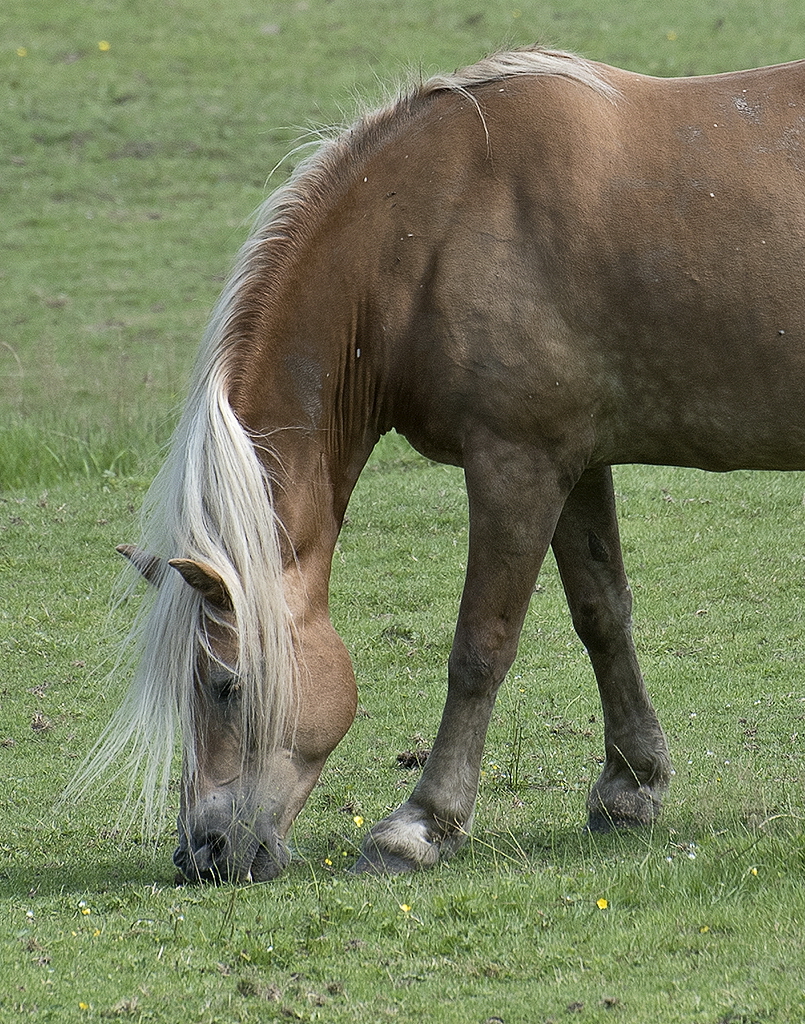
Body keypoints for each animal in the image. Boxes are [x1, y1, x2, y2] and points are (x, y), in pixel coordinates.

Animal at [81, 48, 802, 880]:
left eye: (224, 686)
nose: (201, 852)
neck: (438, 225)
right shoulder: (572, 464)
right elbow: (601, 615)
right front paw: (629, 787)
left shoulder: (515, 465)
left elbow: (479, 648)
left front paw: (421, 824)